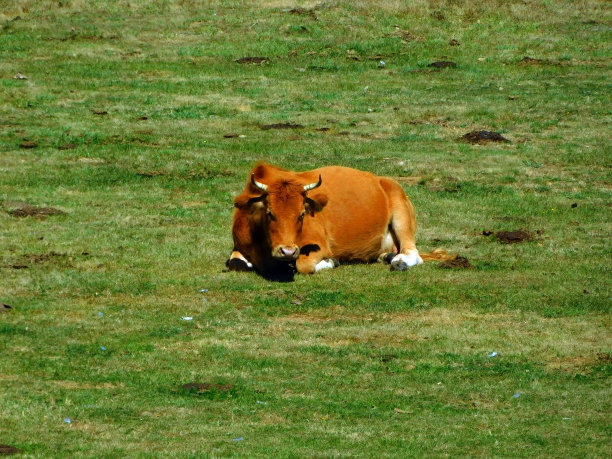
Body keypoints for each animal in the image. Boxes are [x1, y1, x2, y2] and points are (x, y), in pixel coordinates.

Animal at [227, 162, 424, 276]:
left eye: (302, 214)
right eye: (269, 213)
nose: (288, 252)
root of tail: (382, 180)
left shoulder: (319, 244)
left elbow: (304, 265)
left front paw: (331, 261)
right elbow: (236, 263)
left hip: (401, 215)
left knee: (413, 253)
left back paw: (399, 261)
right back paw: (387, 256)